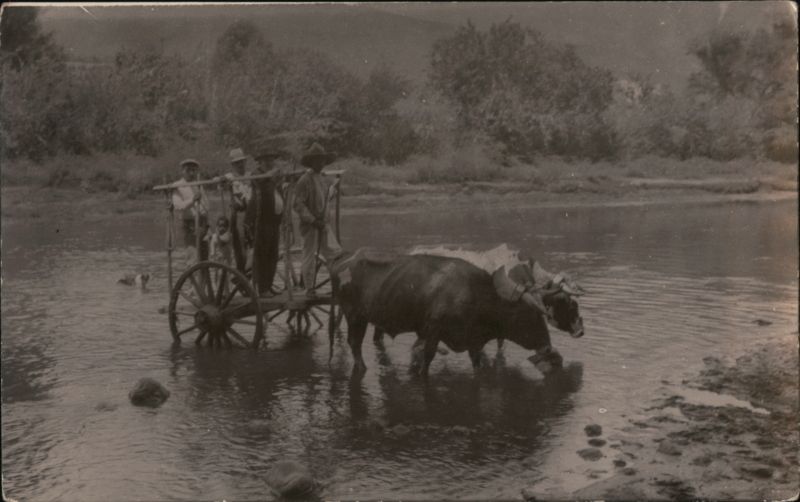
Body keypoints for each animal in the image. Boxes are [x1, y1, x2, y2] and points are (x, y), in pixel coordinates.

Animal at [330, 248, 585, 378]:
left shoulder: (473, 340)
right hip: (355, 316)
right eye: (529, 314)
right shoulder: (432, 332)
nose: (549, 348)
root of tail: (344, 259)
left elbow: (479, 363)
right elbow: (426, 359)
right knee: (355, 343)